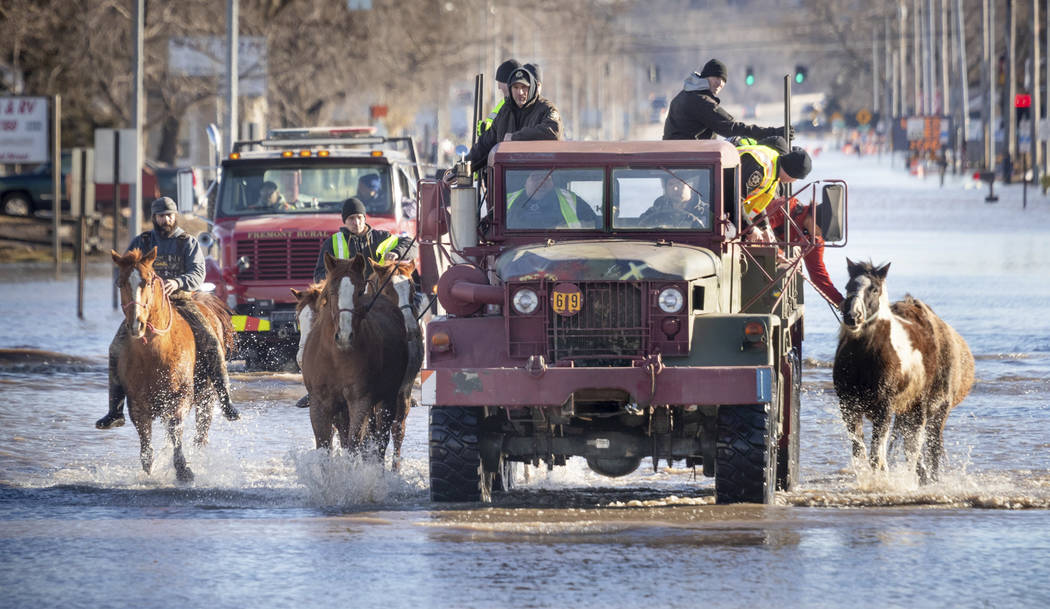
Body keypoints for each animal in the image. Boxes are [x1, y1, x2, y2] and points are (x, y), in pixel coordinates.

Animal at [300, 251, 409, 457]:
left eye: (359, 291)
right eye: (331, 291)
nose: (344, 335)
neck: (336, 357)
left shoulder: (360, 401)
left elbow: (355, 444)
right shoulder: (319, 403)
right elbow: (324, 446)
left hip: (387, 400)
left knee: (381, 441)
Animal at [835, 259, 974, 482]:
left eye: (874, 289)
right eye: (849, 286)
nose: (853, 317)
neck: (864, 358)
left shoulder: (884, 408)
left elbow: (877, 456)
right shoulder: (848, 406)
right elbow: (860, 452)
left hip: (928, 410)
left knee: (924, 449)